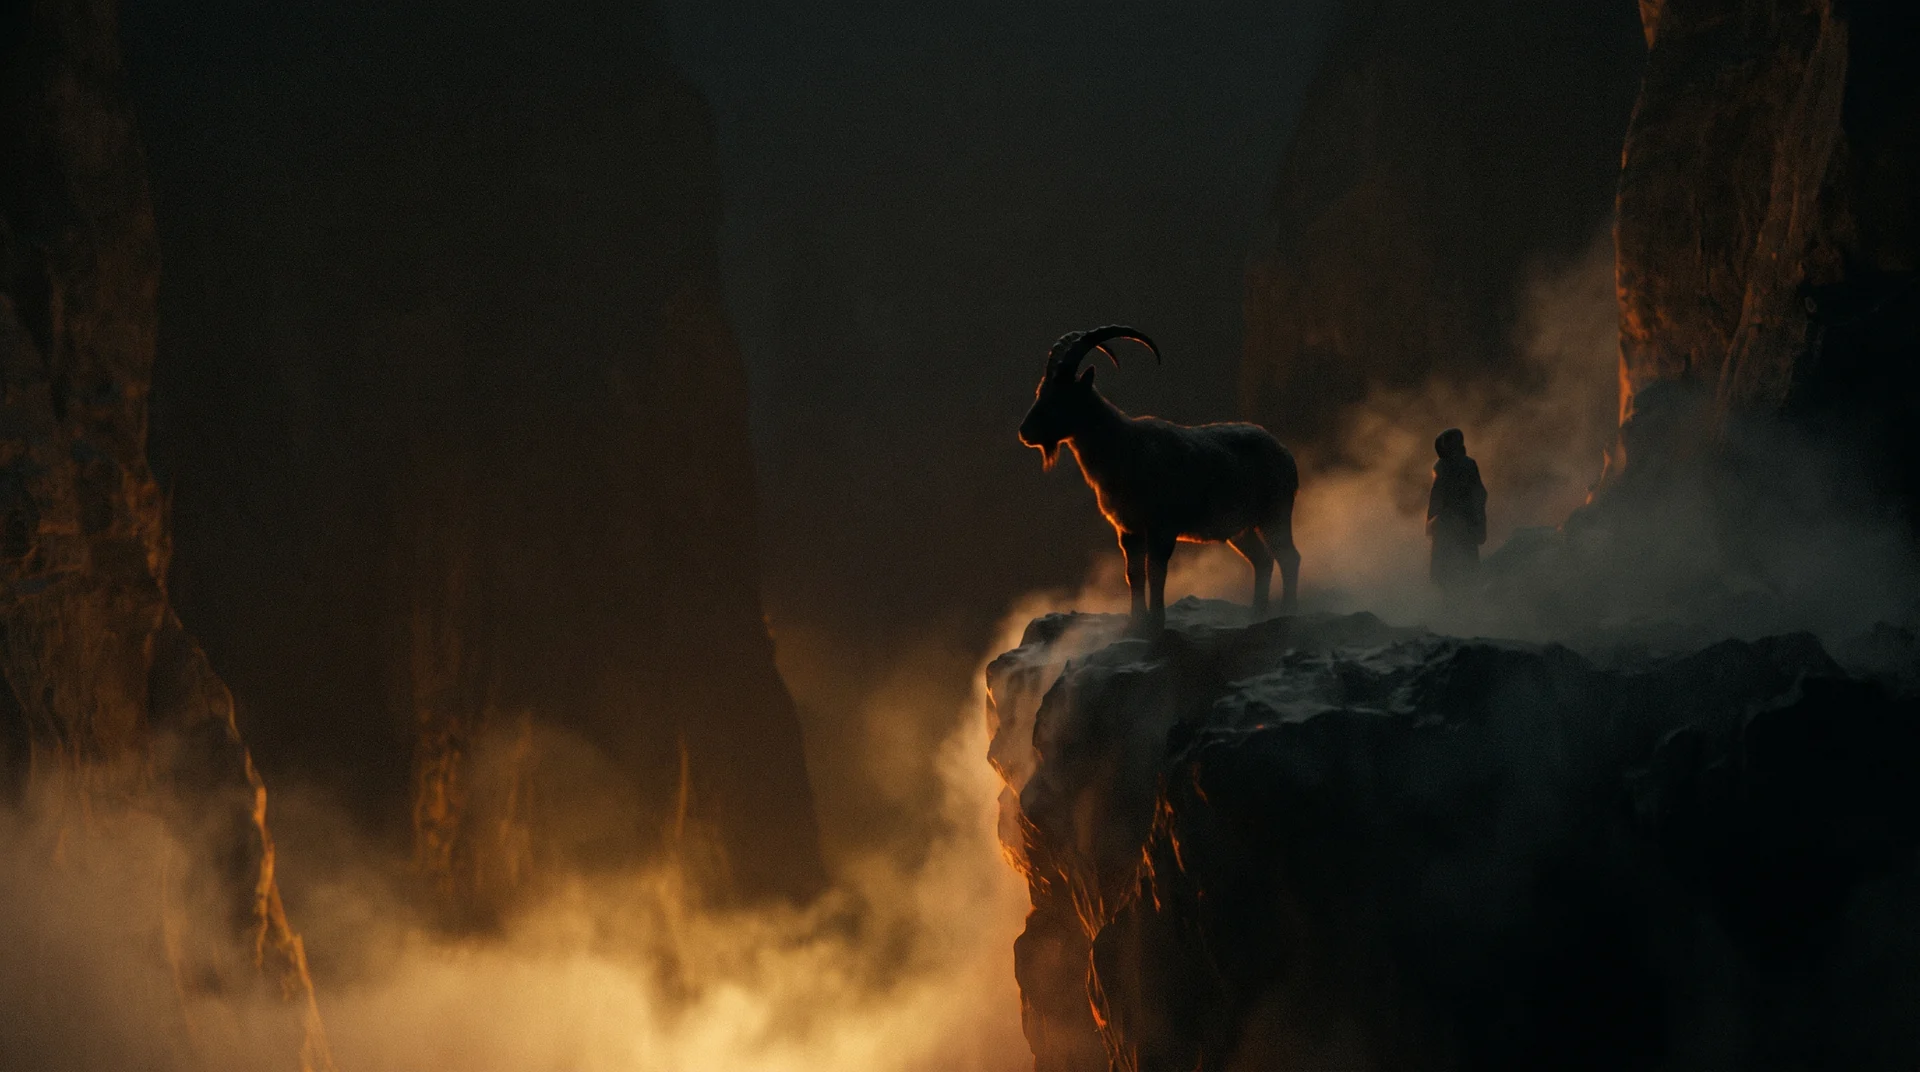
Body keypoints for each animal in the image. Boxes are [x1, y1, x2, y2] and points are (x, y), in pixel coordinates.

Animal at [1018, 325, 1300, 632]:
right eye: (1040, 392)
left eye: (1061, 396)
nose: (1025, 432)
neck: (1124, 448)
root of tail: (1286, 454)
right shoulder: (1128, 530)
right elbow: (1133, 574)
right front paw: (1136, 622)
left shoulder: (1162, 527)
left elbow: (1156, 572)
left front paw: (1156, 622)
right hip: (1241, 529)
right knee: (1263, 560)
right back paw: (1256, 615)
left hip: (1274, 515)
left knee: (1289, 557)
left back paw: (1287, 611)